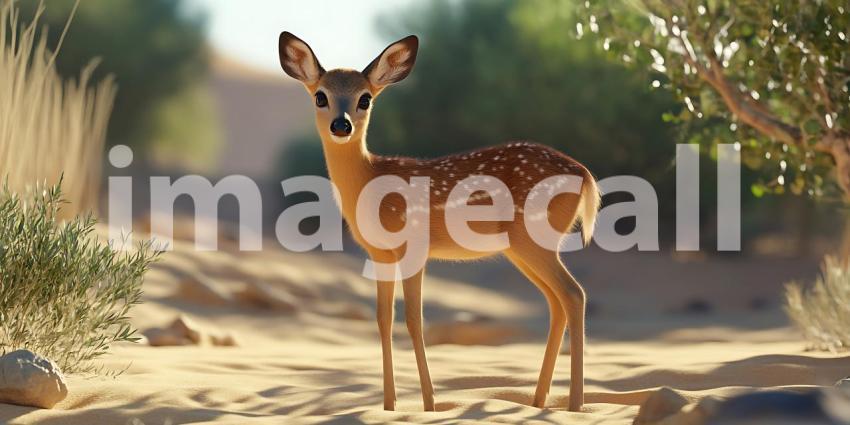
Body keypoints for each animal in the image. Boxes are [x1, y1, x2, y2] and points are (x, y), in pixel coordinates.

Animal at [278, 32, 599, 413]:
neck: (372, 180)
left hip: (532, 238)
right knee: (557, 302)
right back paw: (538, 401)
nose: (341, 125)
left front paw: (430, 404)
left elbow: (414, 321)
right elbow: (383, 319)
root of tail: (585, 174)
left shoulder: (414, 246)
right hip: (523, 249)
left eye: (365, 98)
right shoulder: (380, 254)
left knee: (574, 294)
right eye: (320, 96)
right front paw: (389, 406)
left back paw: (575, 405)